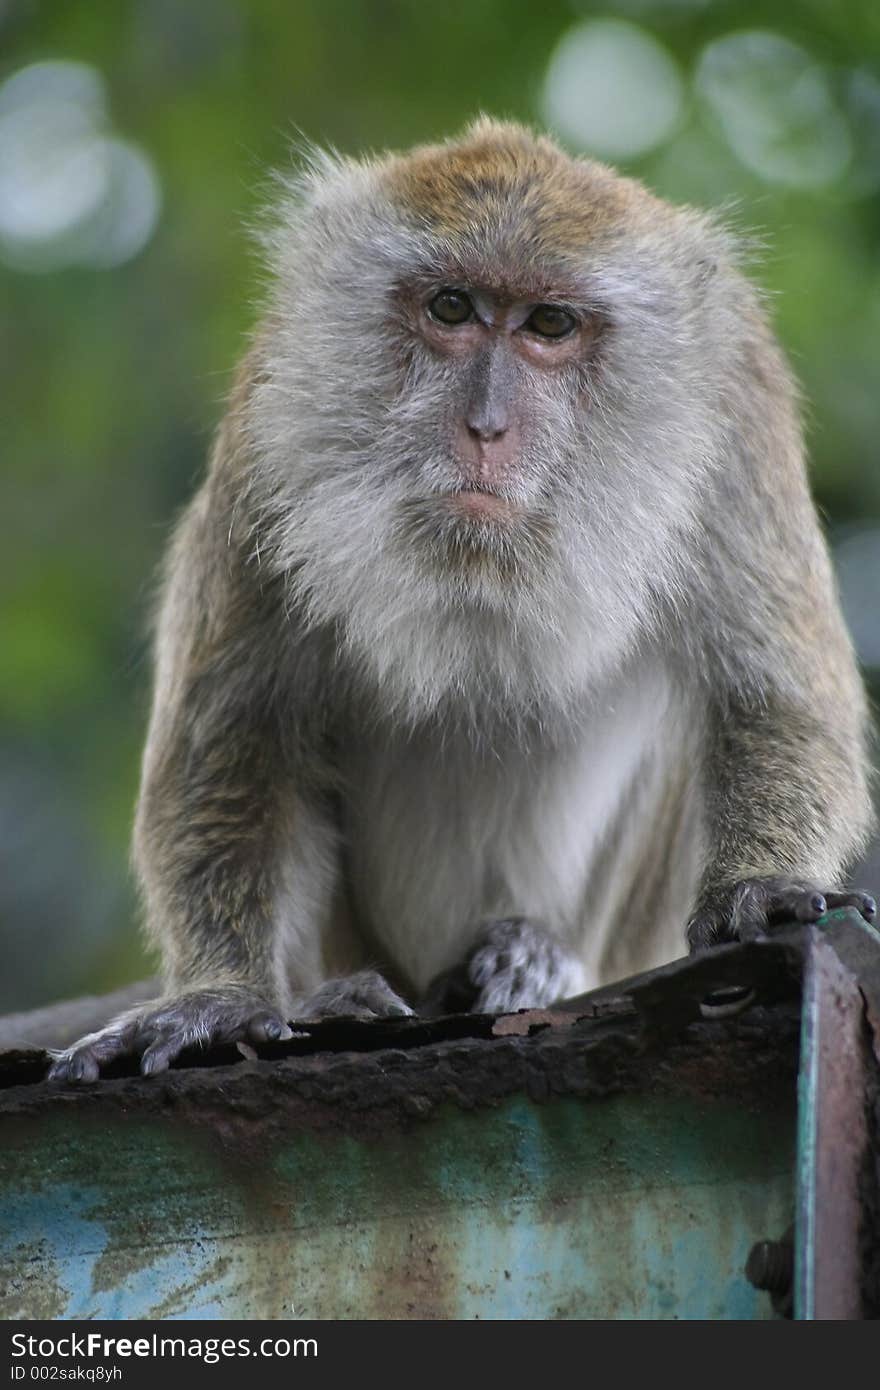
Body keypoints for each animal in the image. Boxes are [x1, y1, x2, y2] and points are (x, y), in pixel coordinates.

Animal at [47, 119, 873, 1078]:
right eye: (451, 308)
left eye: (549, 323)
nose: (485, 427)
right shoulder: (270, 429)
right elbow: (236, 730)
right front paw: (222, 995)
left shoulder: (740, 413)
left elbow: (775, 695)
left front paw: (757, 886)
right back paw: (344, 996)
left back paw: (538, 961)